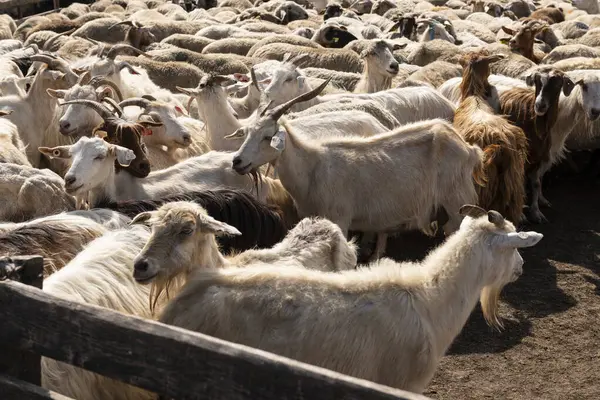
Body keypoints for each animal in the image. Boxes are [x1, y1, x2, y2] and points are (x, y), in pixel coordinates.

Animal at [496, 68, 576, 222]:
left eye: (558, 84)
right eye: (537, 82)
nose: (539, 105)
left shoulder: (539, 156)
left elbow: (536, 183)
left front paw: (536, 212)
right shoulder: (521, 157)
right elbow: (520, 182)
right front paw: (521, 214)